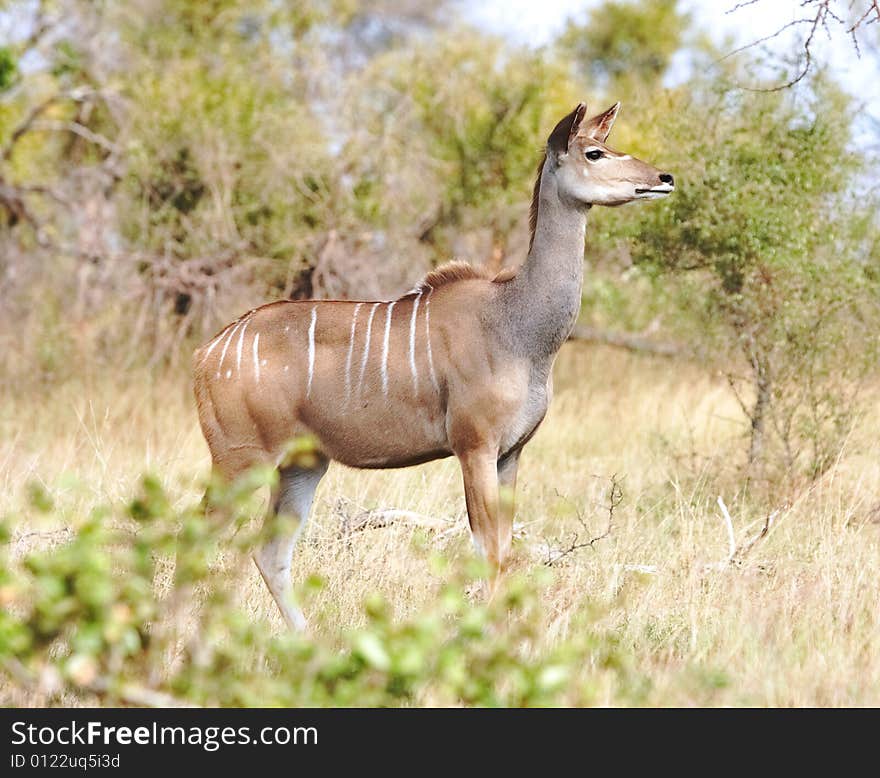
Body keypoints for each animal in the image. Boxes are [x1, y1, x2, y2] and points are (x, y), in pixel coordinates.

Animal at [192, 100, 672, 628]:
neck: (517, 325)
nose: (664, 177)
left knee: (271, 552)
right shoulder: (474, 446)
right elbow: (489, 552)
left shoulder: (511, 453)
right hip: (240, 458)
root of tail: (206, 355)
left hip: (303, 464)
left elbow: (505, 550)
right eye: (594, 153)